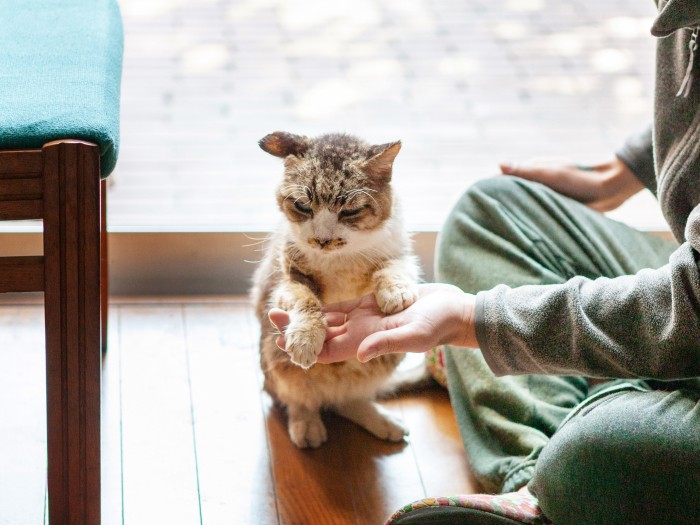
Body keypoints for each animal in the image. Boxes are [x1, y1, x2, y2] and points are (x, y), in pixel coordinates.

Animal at [252, 130, 422, 446]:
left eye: (350, 210)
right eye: (302, 206)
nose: (322, 240)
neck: (340, 259)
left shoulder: (400, 250)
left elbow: (394, 267)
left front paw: (395, 292)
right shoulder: (288, 278)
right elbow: (306, 301)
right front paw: (306, 338)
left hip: (385, 358)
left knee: (348, 399)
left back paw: (381, 420)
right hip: (274, 357)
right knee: (298, 396)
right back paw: (306, 425)